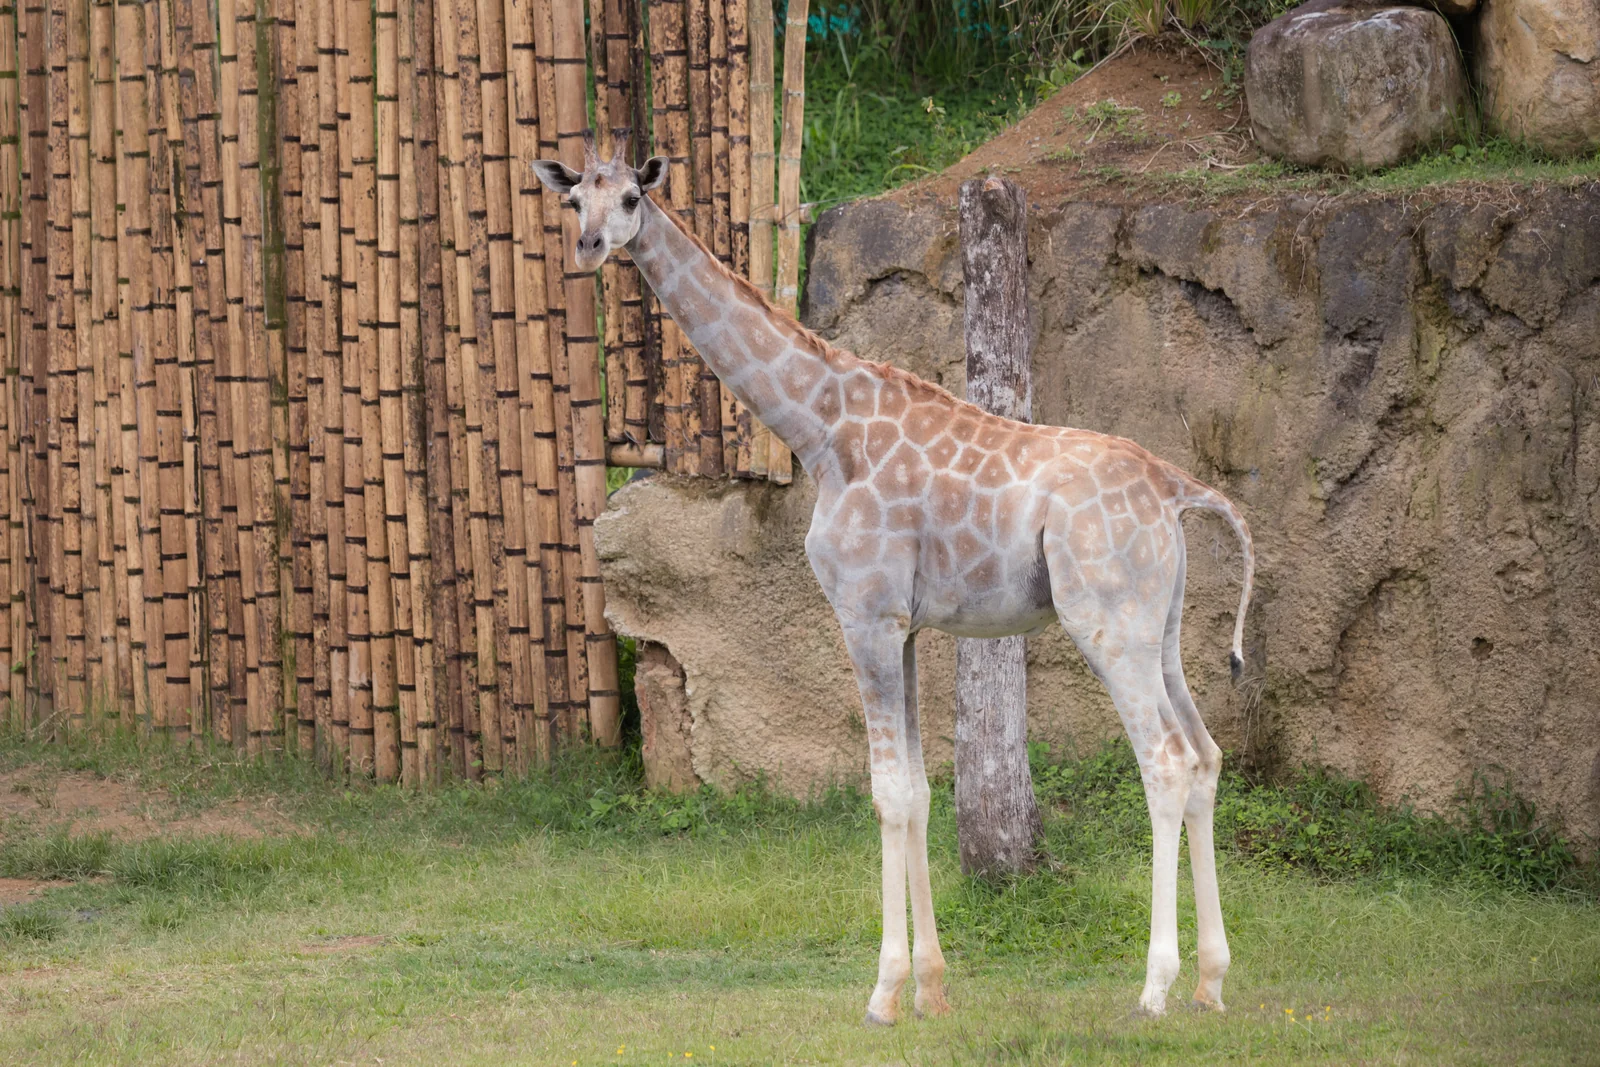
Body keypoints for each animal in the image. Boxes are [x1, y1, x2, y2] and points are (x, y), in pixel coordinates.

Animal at [535, 136, 1255, 1023]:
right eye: (575, 201)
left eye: (633, 197)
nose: (589, 247)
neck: (818, 428)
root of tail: (1176, 488)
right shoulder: (907, 626)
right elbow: (916, 790)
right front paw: (932, 988)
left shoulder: (865, 613)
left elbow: (886, 793)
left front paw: (883, 992)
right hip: (1162, 627)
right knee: (1208, 752)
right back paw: (1212, 979)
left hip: (1107, 622)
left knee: (1165, 760)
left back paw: (1154, 985)